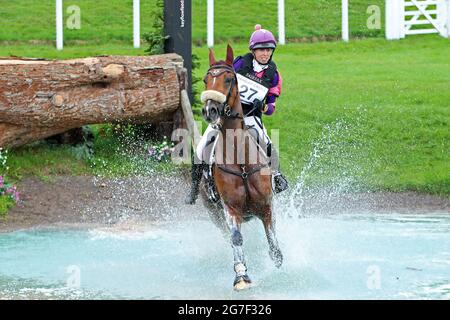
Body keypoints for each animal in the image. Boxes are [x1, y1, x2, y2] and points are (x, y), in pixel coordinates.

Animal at [199, 43, 284, 292]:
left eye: (229, 79)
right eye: (206, 79)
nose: (210, 110)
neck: (241, 161)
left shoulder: (266, 205)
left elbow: (272, 239)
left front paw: (277, 260)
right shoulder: (231, 210)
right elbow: (236, 239)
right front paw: (241, 276)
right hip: (214, 213)